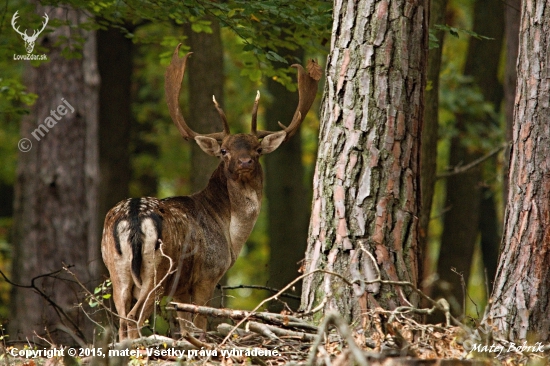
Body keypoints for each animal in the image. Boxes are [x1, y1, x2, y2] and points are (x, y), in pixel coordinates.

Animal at [101, 45, 322, 340]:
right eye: (224, 150)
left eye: (257, 149)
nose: (245, 162)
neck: (229, 232)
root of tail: (134, 216)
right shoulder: (208, 274)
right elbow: (200, 325)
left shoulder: (181, 289)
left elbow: (186, 329)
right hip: (158, 271)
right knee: (134, 319)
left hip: (117, 270)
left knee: (122, 318)